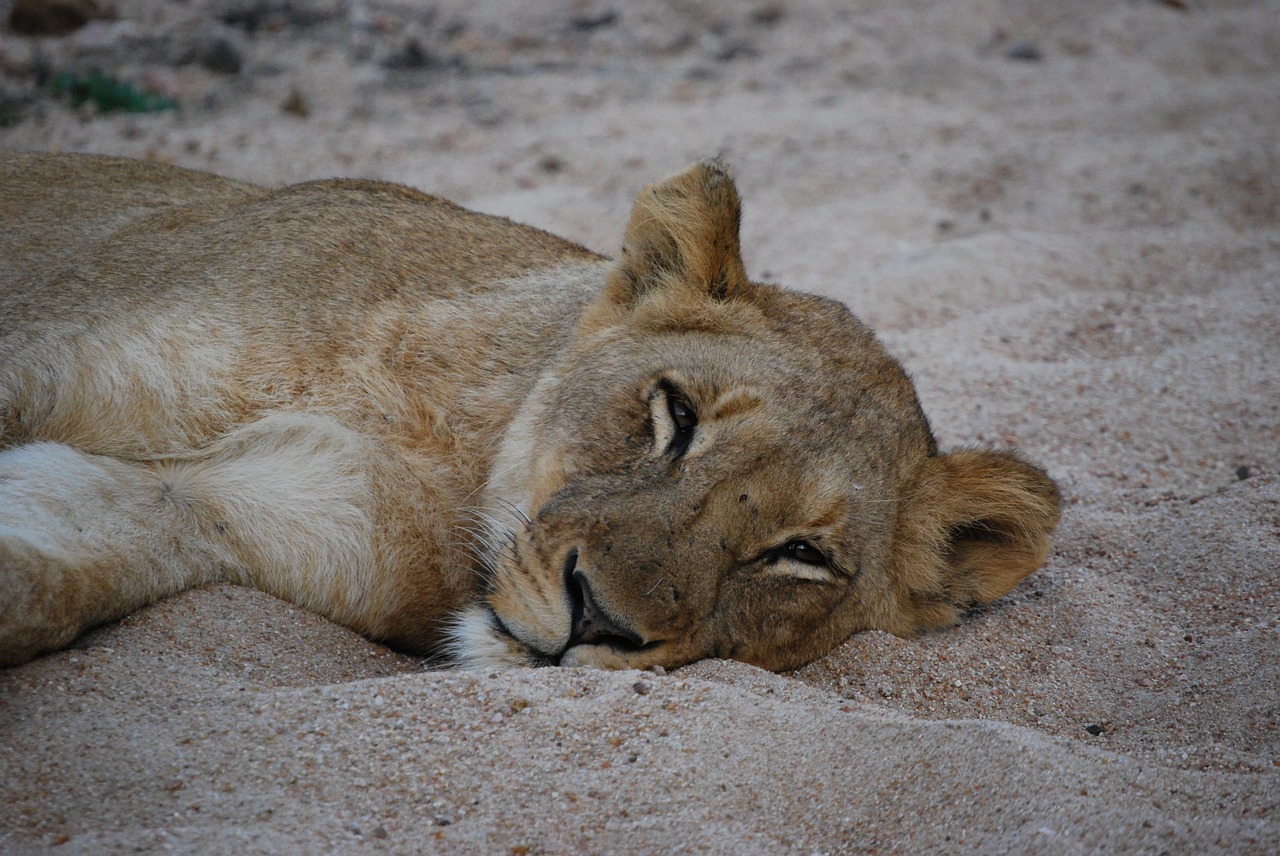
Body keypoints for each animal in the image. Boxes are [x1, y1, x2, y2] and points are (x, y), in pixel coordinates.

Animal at [0, 150, 1059, 670]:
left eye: (798, 556)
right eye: (675, 416)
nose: (598, 621)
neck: (453, 448)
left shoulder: (268, 505)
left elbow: (54, 569)